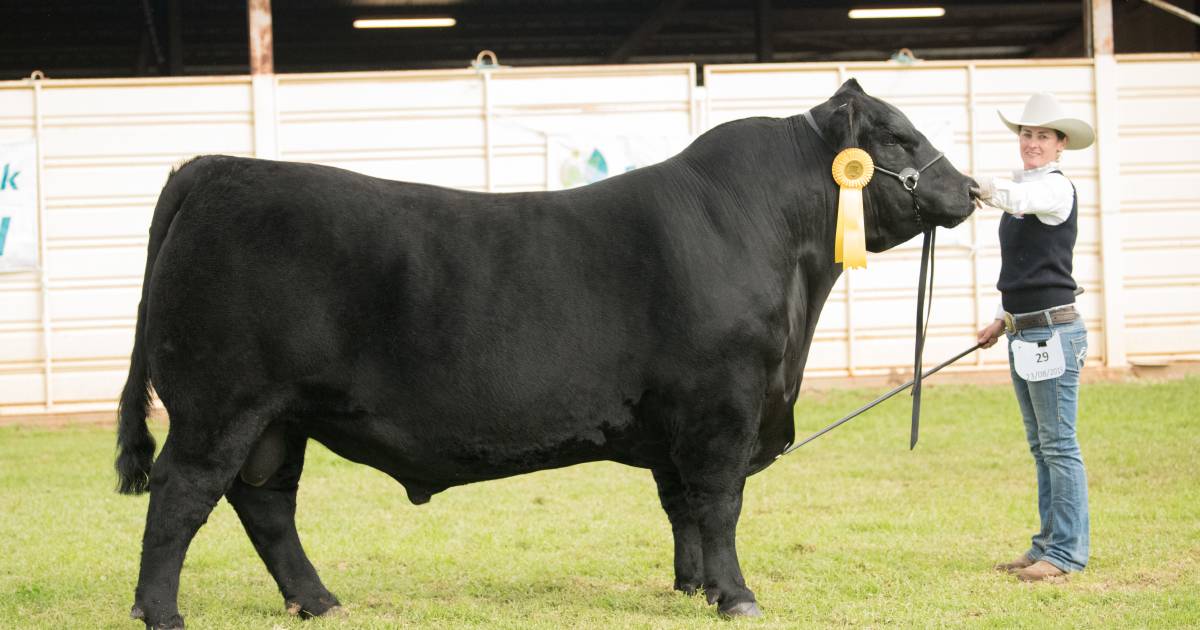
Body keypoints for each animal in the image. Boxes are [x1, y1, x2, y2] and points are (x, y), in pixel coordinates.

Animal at [112, 78, 974, 624]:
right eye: (901, 136)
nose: (968, 189)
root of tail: (214, 167)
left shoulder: (679, 421)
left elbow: (684, 508)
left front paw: (691, 588)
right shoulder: (721, 405)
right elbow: (721, 504)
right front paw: (736, 597)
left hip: (276, 419)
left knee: (266, 504)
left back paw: (318, 602)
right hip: (219, 406)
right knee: (180, 497)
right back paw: (162, 614)